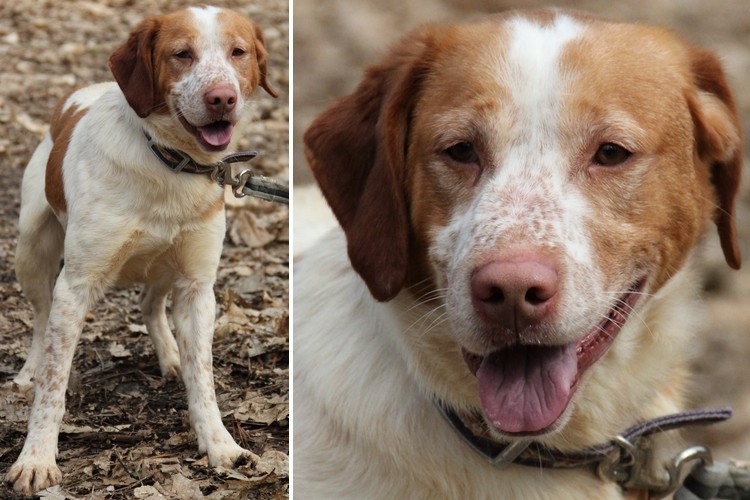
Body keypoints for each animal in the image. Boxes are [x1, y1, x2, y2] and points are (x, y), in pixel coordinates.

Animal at [7, 6, 278, 496]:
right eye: (182, 54)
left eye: (238, 52)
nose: (222, 98)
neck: (171, 163)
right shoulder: (75, 286)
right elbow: (53, 386)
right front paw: (36, 458)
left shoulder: (197, 287)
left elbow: (203, 378)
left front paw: (221, 446)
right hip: (30, 250)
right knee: (38, 321)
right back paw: (27, 372)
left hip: (165, 267)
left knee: (150, 304)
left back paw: (170, 356)